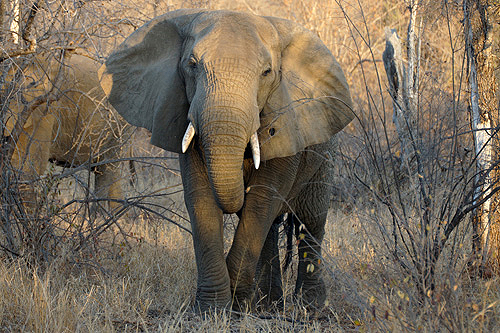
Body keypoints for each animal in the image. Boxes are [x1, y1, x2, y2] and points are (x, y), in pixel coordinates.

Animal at [99, 9, 354, 310]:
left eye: (267, 72)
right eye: (192, 65)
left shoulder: (286, 119)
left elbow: (262, 199)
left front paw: (234, 304)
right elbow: (201, 197)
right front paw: (214, 308)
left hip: (325, 151)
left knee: (311, 219)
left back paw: (309, 309)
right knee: (272, 228)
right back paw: (267, 306)